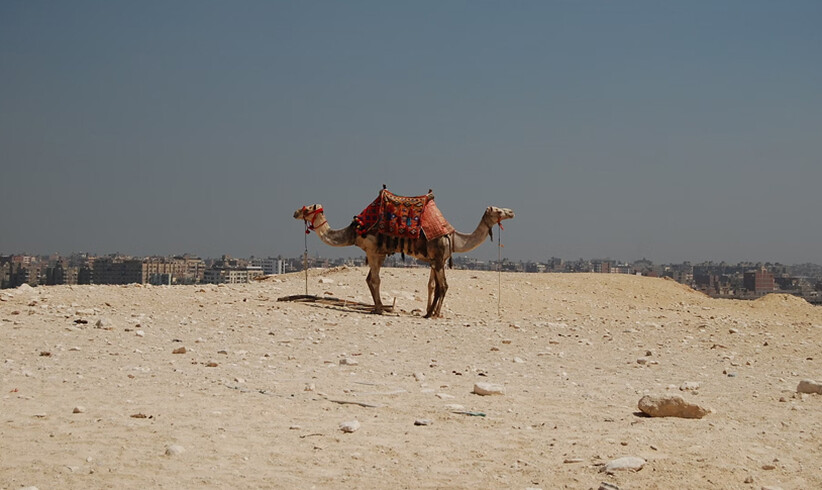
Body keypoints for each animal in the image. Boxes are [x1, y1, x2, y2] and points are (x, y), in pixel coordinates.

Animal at [294, 195, 516, 318]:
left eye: (308, 207)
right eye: (498, 210)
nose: (296, 211)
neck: (454, 238)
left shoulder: (436, 260)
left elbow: (434, 286)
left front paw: (431, 312)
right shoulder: (435, 259)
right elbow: (442, 286)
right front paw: (433, 314)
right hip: (377, 253)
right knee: (373, 279)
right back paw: (382, 308)